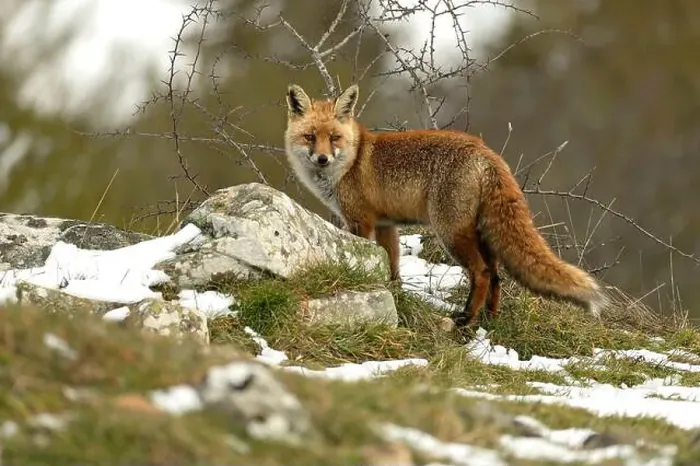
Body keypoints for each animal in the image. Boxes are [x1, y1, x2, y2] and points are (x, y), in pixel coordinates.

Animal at [283, 83, 610, 326]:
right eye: (310, 137)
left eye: (334, 138)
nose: (322, 159)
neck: (350, 163)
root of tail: (486, 152)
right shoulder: (386, 224)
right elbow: (392, 267)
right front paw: (393, 294)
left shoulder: (359, 221)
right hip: (481, 234)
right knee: (497, 276)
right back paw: (489, 319)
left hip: (450, 232)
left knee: (482, 273)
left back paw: (465, 319)